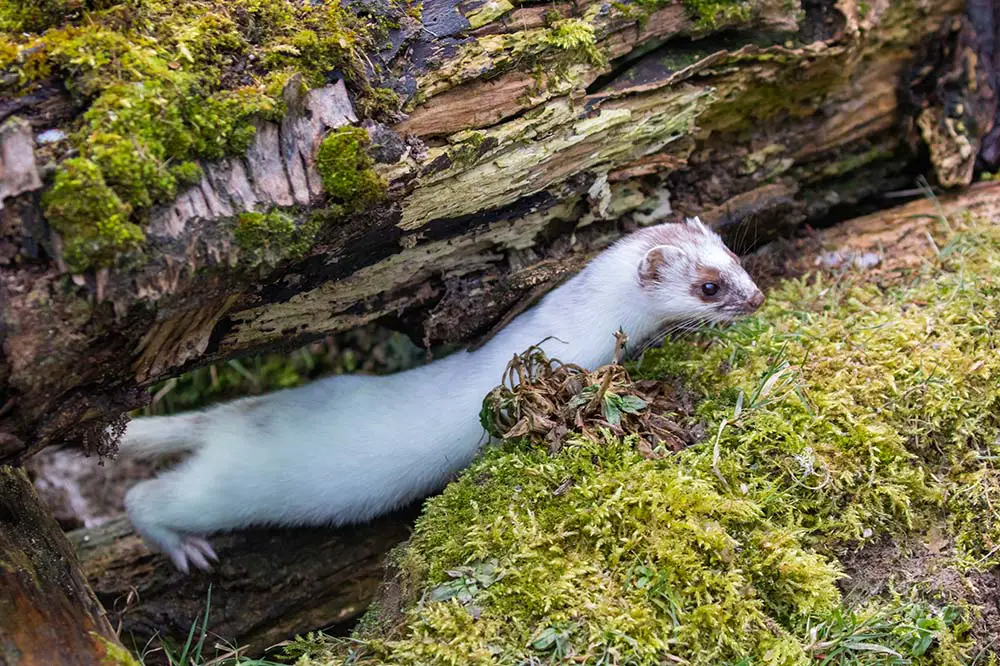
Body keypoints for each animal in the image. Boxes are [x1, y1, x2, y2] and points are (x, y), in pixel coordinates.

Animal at [117, 218, 760, 572]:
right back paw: (185, 547)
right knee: (146, 497)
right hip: (230, 488)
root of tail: (236, 417)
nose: (755, 297)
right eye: (708, 286)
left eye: (734, 255)